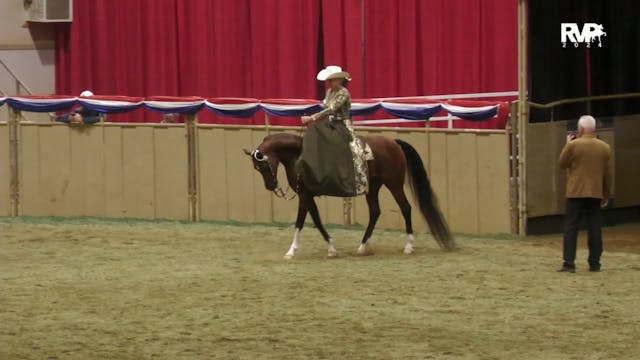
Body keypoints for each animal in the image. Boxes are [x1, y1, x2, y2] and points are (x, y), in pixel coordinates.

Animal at [242, 133, 452, 258]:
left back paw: (409, 246)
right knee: (375, 212)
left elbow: (300, 222)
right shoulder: (308, 196)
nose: (270, 186)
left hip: (394, 185)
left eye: (262, 165)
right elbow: (316, 220)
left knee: (405, 208)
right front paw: (332, 248)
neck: (299, 157)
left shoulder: (304, 195)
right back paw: (362, 247)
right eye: (255, 168)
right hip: (373, 188)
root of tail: (393, 142)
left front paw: (291, 251)